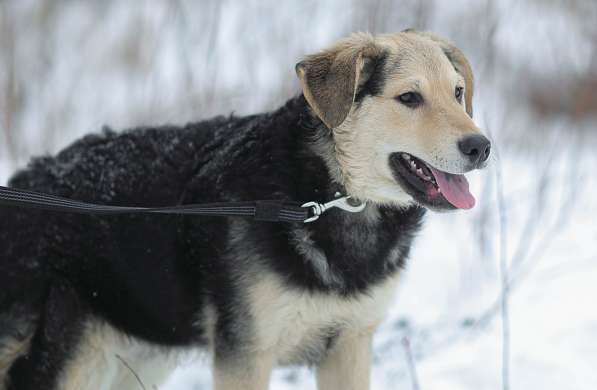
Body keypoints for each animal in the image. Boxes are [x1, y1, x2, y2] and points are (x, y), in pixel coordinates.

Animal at [0, 31, 488, 390]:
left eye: (458, 93)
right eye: (409, 98)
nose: (481, 146)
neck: (326, 193)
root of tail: (24, 182)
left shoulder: (348, 344)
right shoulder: (245, 354)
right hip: (62, 356)